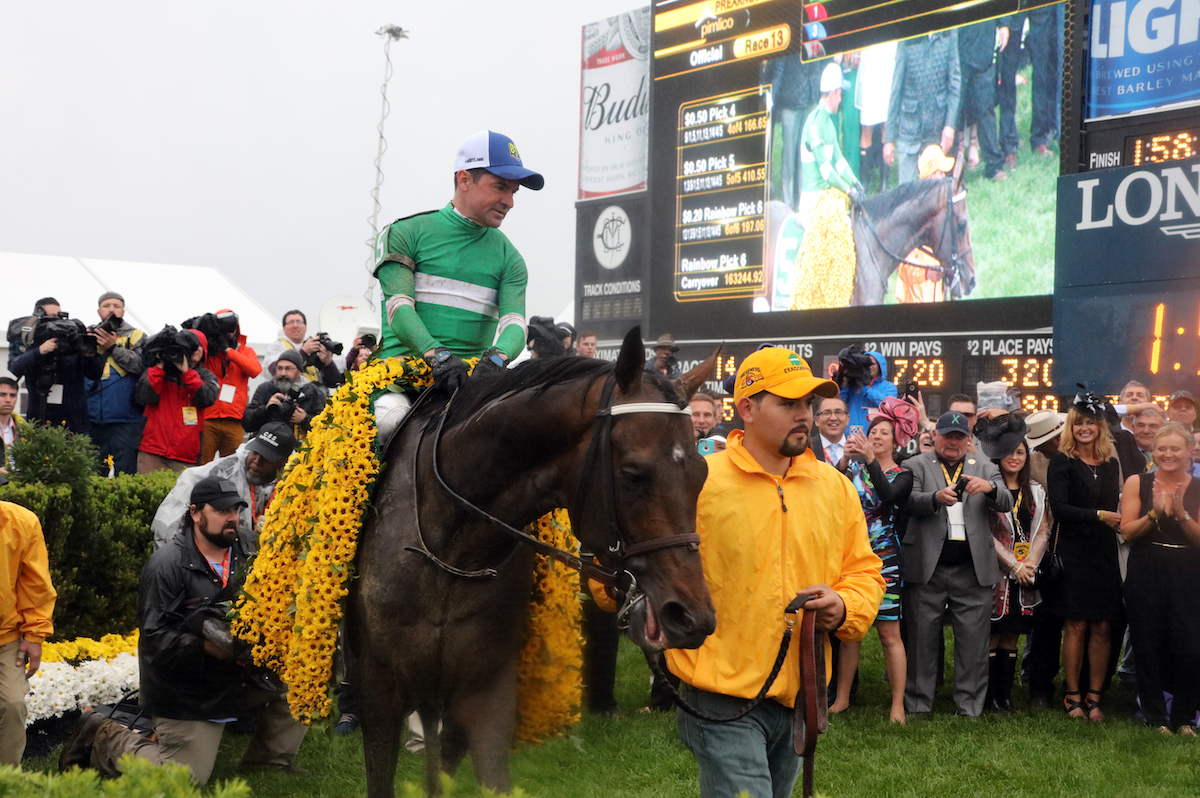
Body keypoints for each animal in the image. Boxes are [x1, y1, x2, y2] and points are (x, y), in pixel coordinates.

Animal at [350, 326, 715, 792]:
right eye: (633, 475)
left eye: (701, 474)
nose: (690, 617)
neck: (447, 550)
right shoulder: (378, 689)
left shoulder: (484, 687)